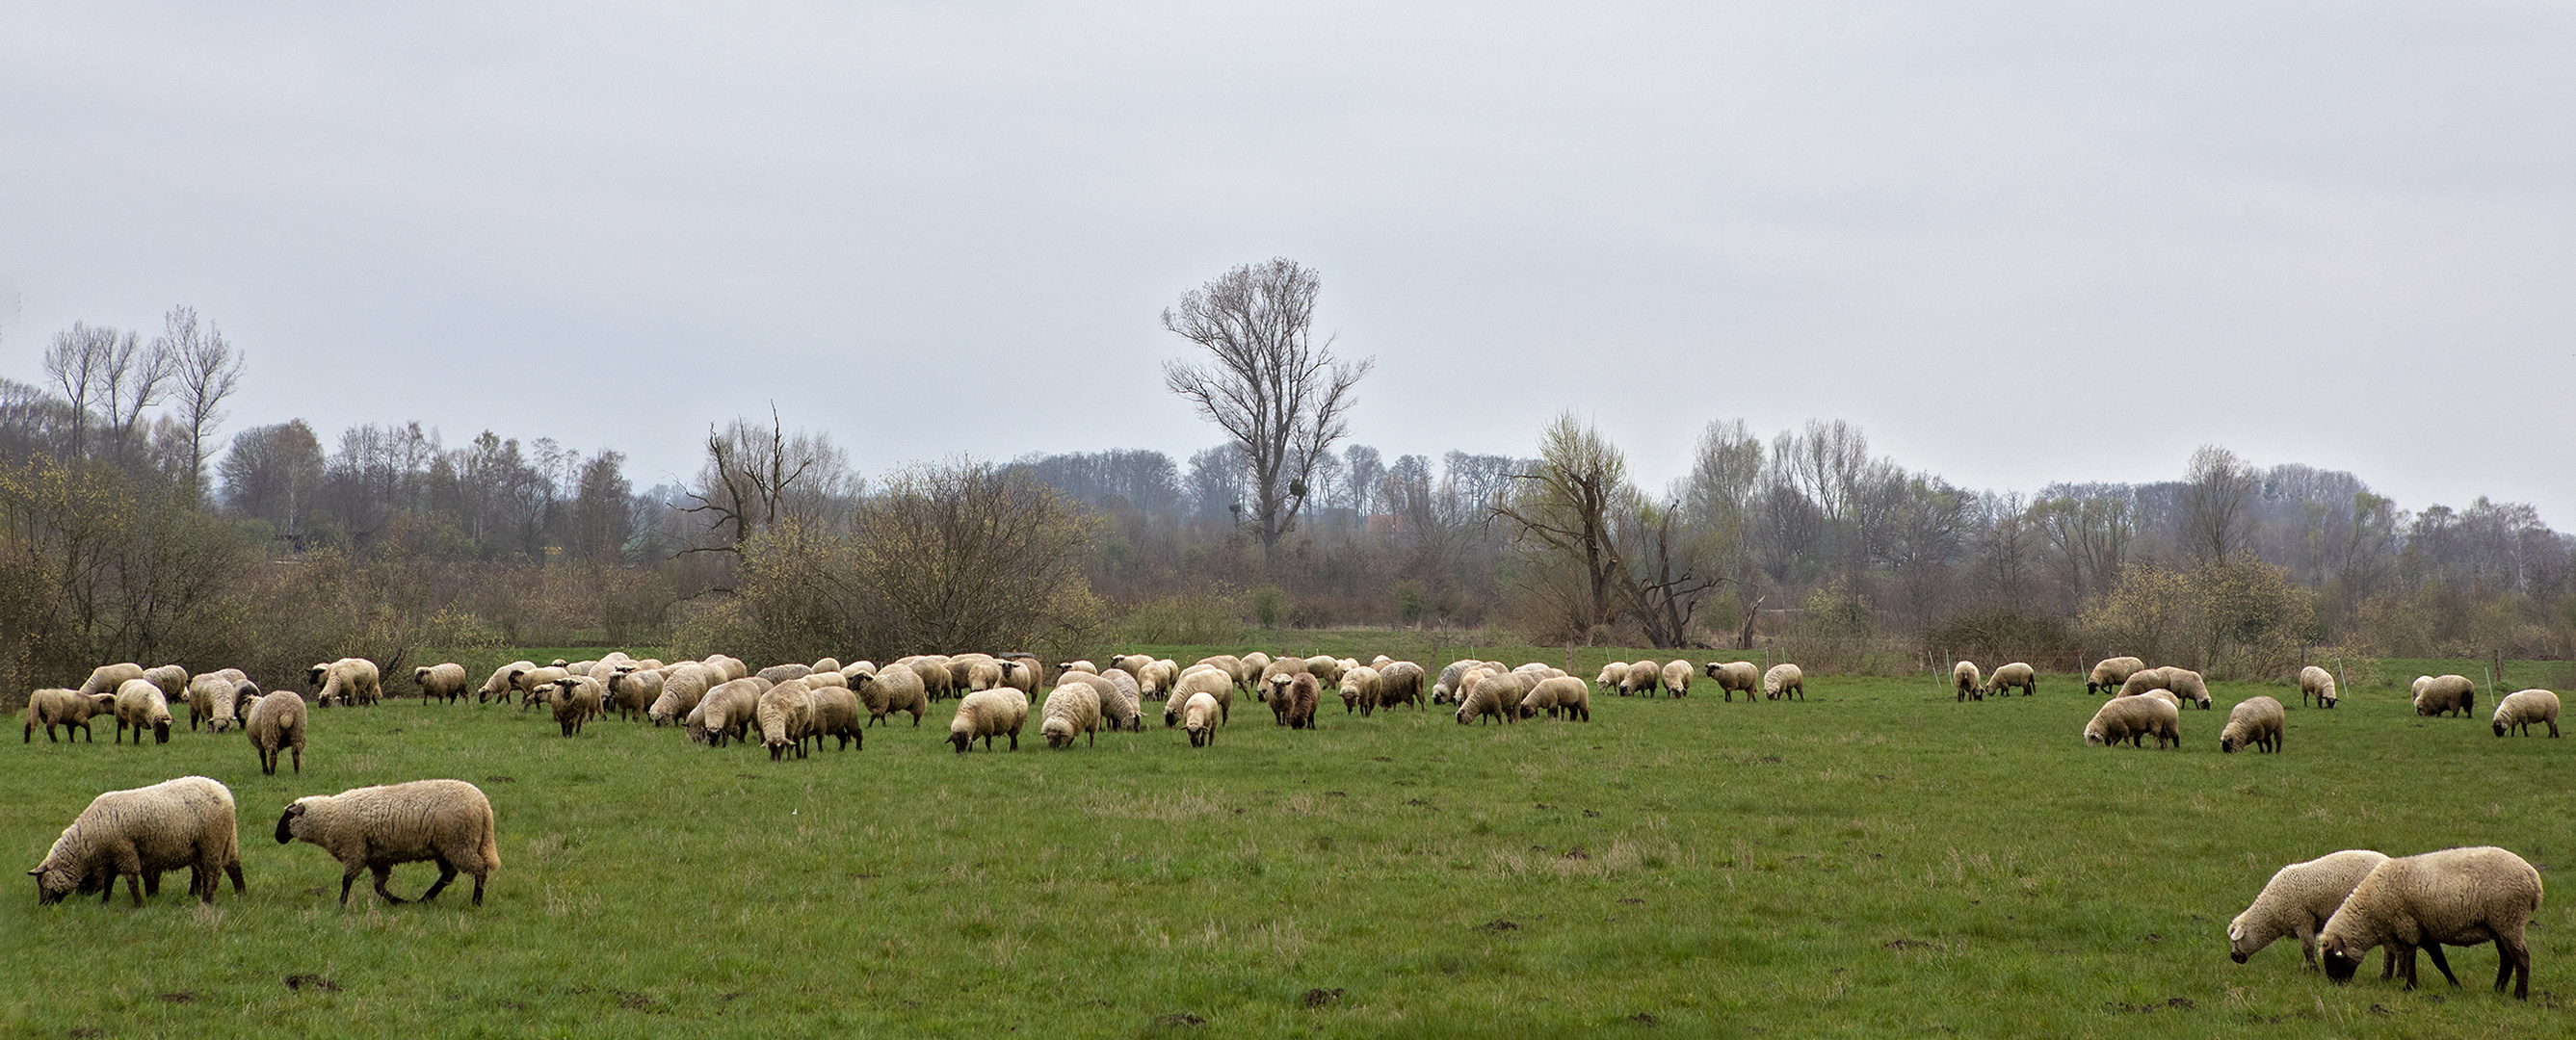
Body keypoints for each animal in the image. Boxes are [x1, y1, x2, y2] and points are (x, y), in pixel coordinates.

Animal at [27, 777, 243, 905]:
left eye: (42, 883)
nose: (43, 906)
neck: (88, 843)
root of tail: (224, 792)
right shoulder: (113, 856)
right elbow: (109, 881)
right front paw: (105, 903)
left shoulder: (124, 851)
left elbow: (131, 881)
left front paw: (139, 905)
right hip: (224, 840)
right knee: (232, 866)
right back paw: (241, 894)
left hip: (211, 841)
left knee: (213, 872)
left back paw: (207, 901)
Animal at [277, 777, 507, 905]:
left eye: (288, 817)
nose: (277, 837)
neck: (328, 817)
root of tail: (483, 804)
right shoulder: (377, 858)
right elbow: (379, 887)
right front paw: (398, 902)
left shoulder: (355, 851)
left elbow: (347, 881)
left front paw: (341, 905)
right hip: (447, 846)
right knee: (448, 874)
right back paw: (425, 899)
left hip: (459, 842)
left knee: (479, 869)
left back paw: (476, 901)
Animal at [2215, 849, 2390, 973]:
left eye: (2235, 940)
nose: (2233, 957)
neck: (2270, 914)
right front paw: (2307, 967)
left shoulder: (2301, 919)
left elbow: (2307, 947)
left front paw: (2313, 969)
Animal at [2318, 844, 2535, 999]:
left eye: (2333, 958)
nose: (2335, 985)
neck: (2371, 913)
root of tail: (2532, 876)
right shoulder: (2424, 930)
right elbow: (2440, 961)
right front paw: (2455, 985)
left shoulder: (2407, 925)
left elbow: (2410, 956)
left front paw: (2410, 986)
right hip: (2500, 925)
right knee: (2507, 959)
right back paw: (2497, 990)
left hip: (2509, 919)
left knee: (2522, 957)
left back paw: (2520, 995)